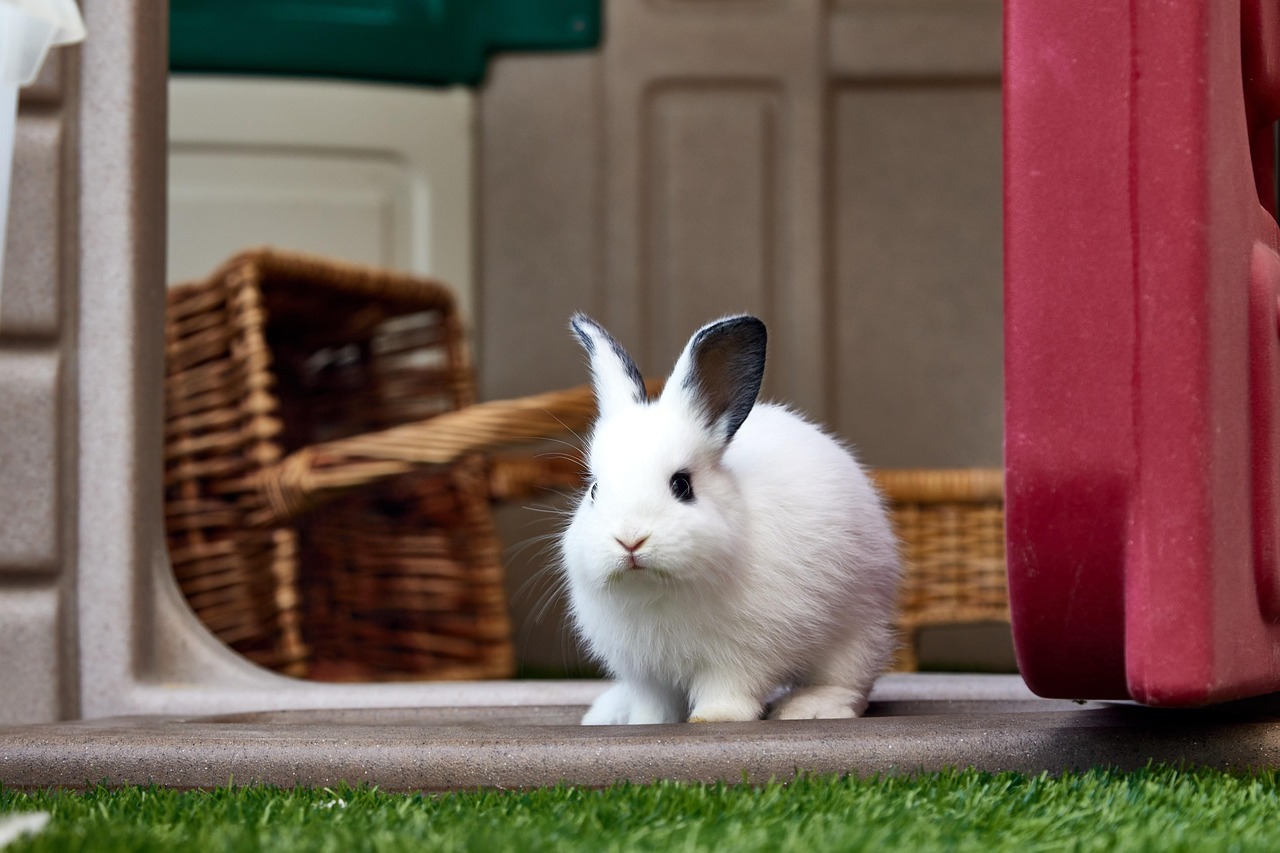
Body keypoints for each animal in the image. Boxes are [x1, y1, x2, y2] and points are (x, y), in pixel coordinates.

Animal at [561, 312, 902, 725]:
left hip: (857, 633)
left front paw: (715, 717)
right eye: (594, 490)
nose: (630, 538)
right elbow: (654, 703)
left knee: (849, 683)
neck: (656, 590)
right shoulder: (646, 673)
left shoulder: (741, 656)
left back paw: (811, 708)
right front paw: (647, 722)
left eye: (682, 485)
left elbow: (727, 689)